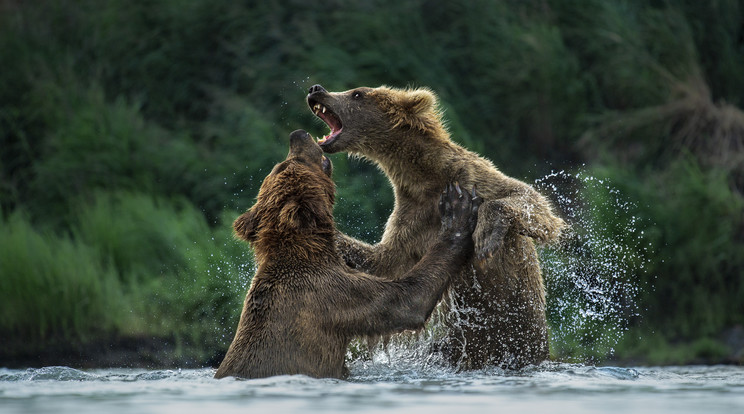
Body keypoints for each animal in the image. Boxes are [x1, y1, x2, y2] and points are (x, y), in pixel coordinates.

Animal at [212, 131, 480, 380]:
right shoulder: (333, 296)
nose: (298, 134)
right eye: (288, 163)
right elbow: (405, 301)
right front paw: (457, 210)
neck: (305, 252)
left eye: (280, 163)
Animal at [306, 84, 568, 368]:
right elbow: (386, 262)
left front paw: (486, 238)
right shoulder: (414, 219)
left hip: (521, 333)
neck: (426, 178)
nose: (316, 89)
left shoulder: (475, 179)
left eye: (357, 94)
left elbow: (532, 203)